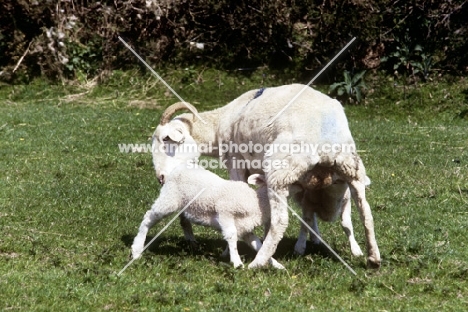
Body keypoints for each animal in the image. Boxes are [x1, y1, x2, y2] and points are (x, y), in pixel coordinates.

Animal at [131, 162, 286, 270]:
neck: (254, 201)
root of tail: (176, 169)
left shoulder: (245, 229)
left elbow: (259, 245)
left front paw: (275, 264)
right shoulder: (225, 212)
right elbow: (231, 235)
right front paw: (237, 262)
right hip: (169, 199)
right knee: (148, 218)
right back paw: (137, 249)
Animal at [152, 84, 382, 270]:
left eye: (165, 139)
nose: (161, 178)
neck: (219, 127)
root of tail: (327, 140)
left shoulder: (236, 162)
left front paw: (229, 251)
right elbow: (268, 212)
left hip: (281, 170)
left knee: (281, 221)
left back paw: (259, 262)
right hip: (351, 167)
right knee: (366, 213)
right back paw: (373, 258)